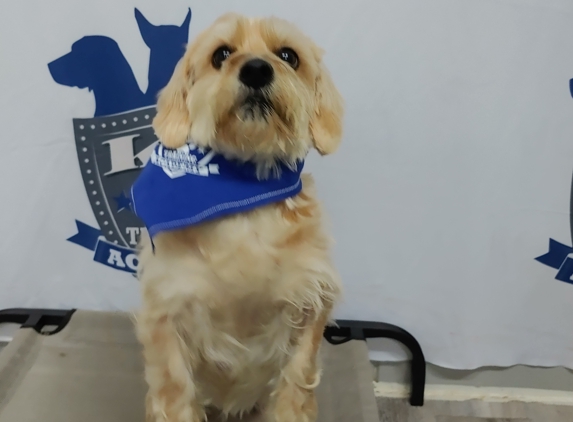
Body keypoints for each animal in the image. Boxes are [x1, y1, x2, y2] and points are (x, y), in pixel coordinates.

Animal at [137, 13, 344, 422]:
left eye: (288, 55)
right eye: (221, 54)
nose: (257, 69)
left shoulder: (311, 302)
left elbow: (295, 382)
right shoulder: (167, 310)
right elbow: (175, 392)